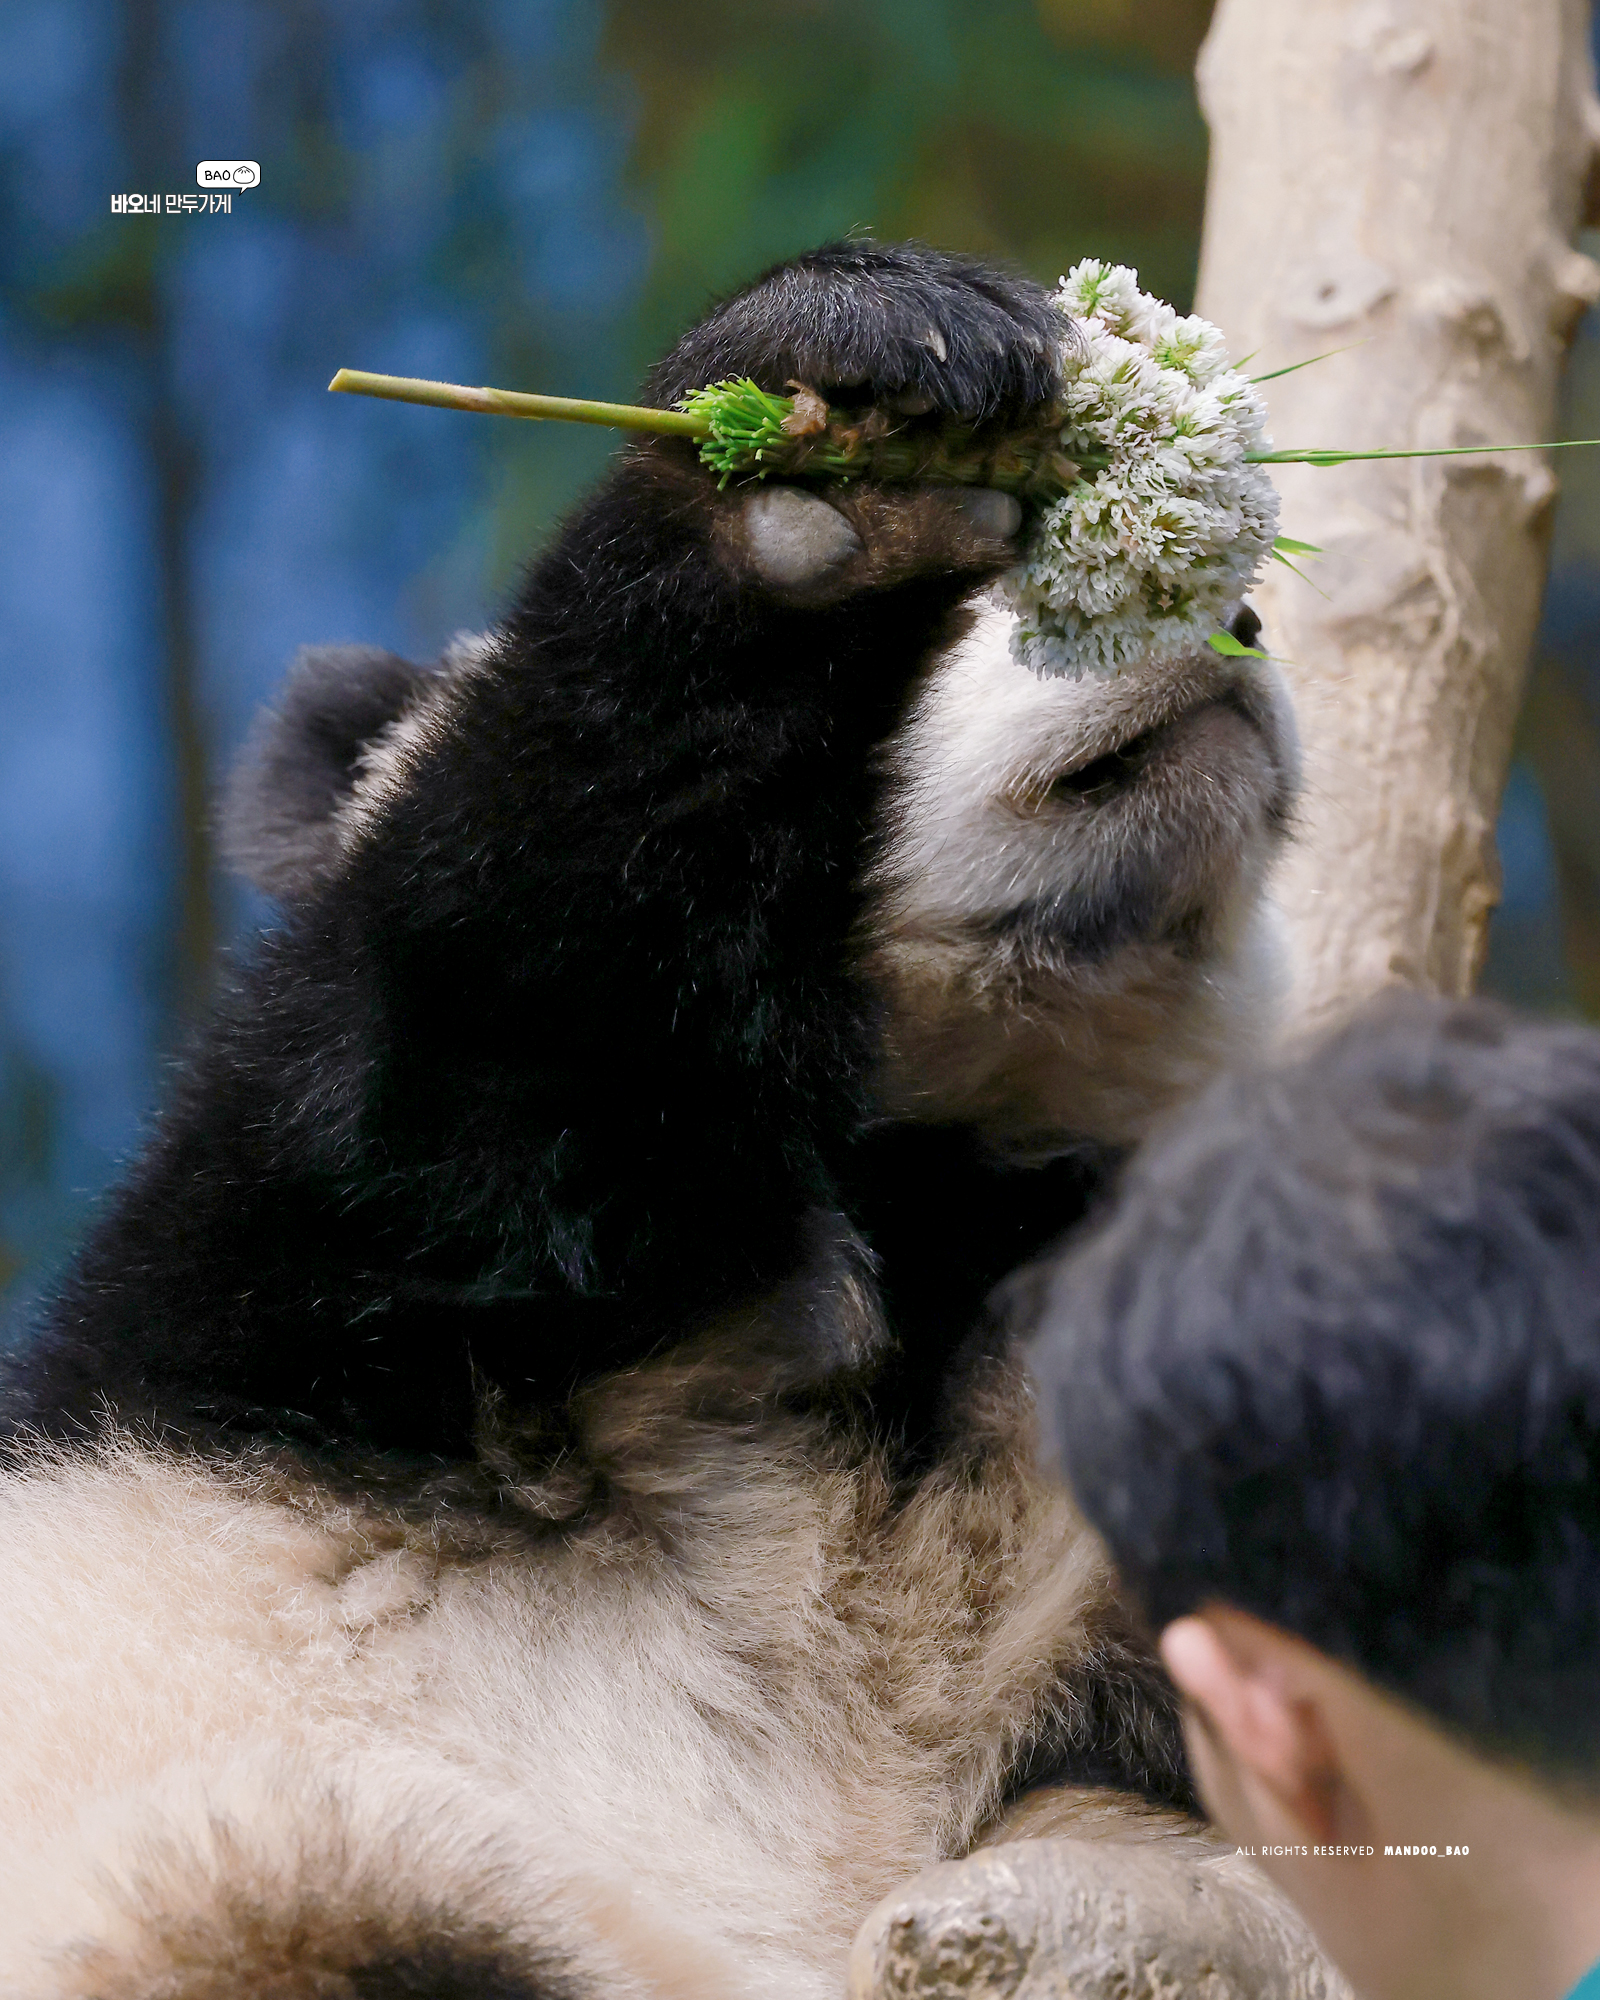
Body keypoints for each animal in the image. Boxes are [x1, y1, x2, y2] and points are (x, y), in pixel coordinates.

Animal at [0, 246, 1296, 2000]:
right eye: (995, 608)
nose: (1235, 622)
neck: (939, 1163)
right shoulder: (254, 1311)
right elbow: (502, 990)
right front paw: (842, 436)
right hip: (258, 1870)